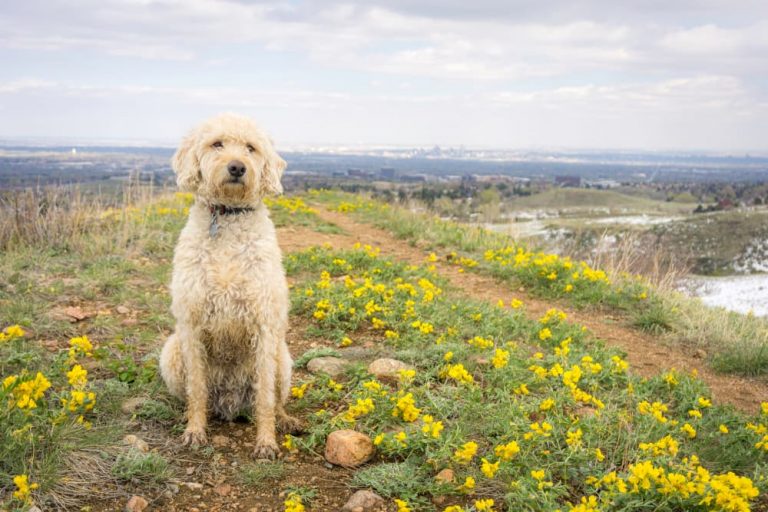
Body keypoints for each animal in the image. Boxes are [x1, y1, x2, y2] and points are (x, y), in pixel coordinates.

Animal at [158, 114, 296, 458]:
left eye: (251, 147)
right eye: (216, 143)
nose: (237, 167)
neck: (228, 218)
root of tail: (230, 403)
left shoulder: (264, 326)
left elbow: (265, 399)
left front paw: (266, 442)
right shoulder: (191, 325)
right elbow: (196, 389)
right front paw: (195, 431)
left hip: (283, 357)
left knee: (275, 398)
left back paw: (285, 419)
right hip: (172, 351)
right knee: (194, 395)